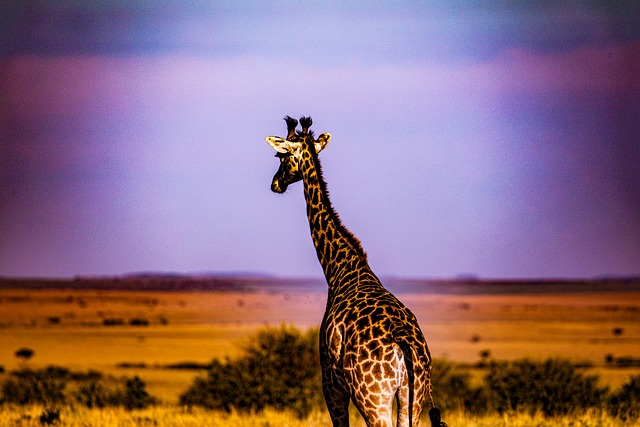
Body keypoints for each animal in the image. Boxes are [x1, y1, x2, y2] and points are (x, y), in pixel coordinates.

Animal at [264, 114, 444, 427]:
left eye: (281, 156)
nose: (275, 183)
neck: (340, 270)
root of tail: (405, 343)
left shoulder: (330, 381)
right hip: (414, 395)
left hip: (373, 397)